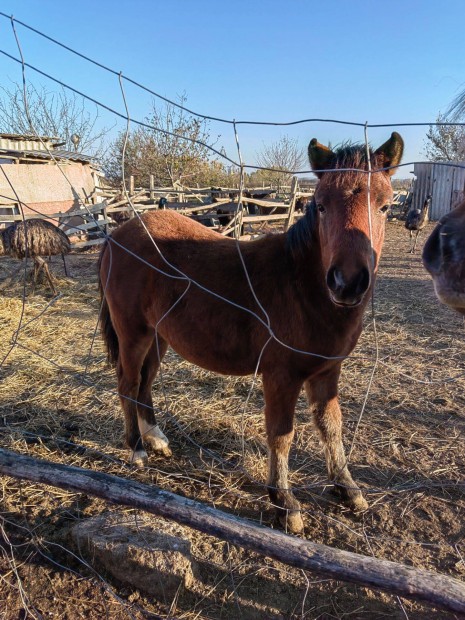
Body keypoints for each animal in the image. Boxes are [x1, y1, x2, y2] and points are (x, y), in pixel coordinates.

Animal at [98, 133, 402, 536]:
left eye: (384, 206)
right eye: (321, 206)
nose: (347, 283)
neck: (300, 286)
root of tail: (117, 233)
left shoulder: (327, 371)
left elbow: (331, 426)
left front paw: (347, 488)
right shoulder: (281, 376)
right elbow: (281, 435)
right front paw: (284, 503)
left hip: (158, 335)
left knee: (145, 381)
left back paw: (157, 439)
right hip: (133, 331)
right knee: (128, 383)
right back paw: (136, 449)